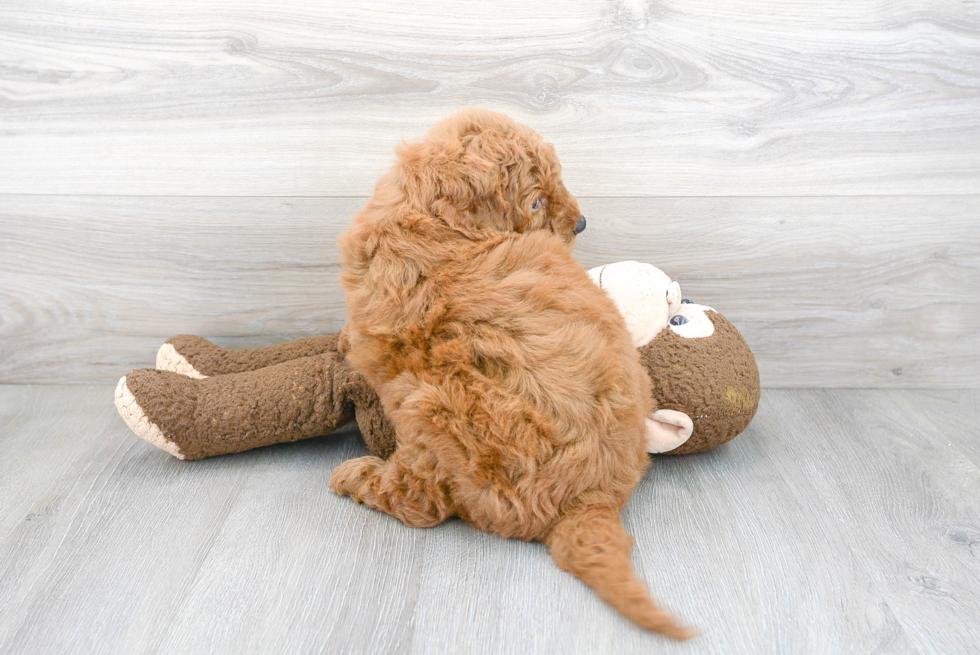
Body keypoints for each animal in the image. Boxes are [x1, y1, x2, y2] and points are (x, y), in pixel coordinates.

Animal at [330, 110, 688, 640]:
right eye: (537, 201)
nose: (581, 222)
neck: (430, 218)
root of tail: (595, 497)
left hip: (432, 404)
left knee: (421, 503)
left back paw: (357, 475)